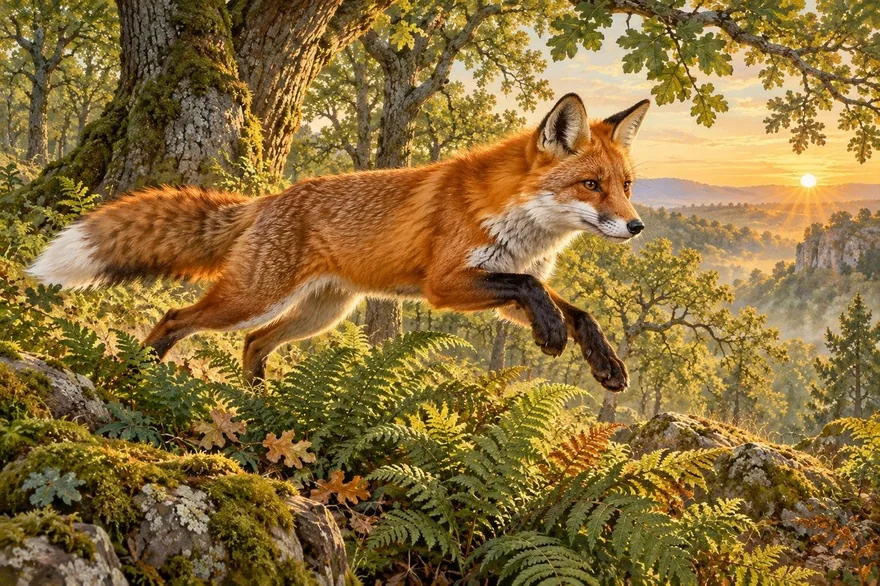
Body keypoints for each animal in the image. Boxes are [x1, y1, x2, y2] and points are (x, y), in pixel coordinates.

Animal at [28, 93, 649, 391]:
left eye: (626, 186)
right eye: (591, 185)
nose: (637, 226)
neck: (521, 225)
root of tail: (268, 199)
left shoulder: (503, 290)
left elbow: (579, 311)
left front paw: (606, 365)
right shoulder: (448, 285)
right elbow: (536, 295)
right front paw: (553, 337)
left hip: (320, 312)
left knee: (253, 344)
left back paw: (262, 404)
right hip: (252, 298)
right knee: (176, 318)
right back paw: (139, 374)